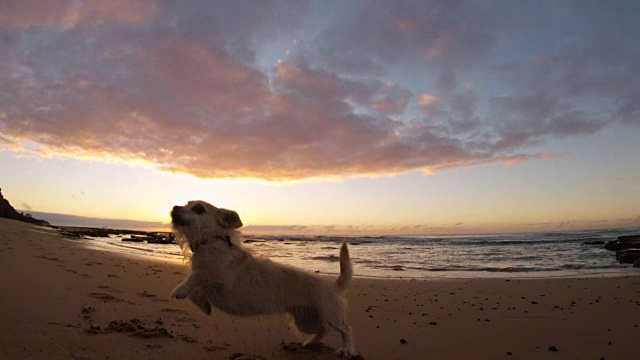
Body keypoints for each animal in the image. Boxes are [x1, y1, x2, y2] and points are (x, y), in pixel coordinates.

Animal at [168, 201, 356, 356]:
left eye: (198, 208)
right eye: (186, 203)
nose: (174, 207)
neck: (210, 242)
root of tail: (333, 286)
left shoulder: (222, 279)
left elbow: (198, 274)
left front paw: (180, 289)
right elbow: (195, 290)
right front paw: (202, 303)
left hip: (329, 314)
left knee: (345, 329)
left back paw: (346, 349)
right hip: (306, 322)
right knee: (323, 330)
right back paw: (310, 342)